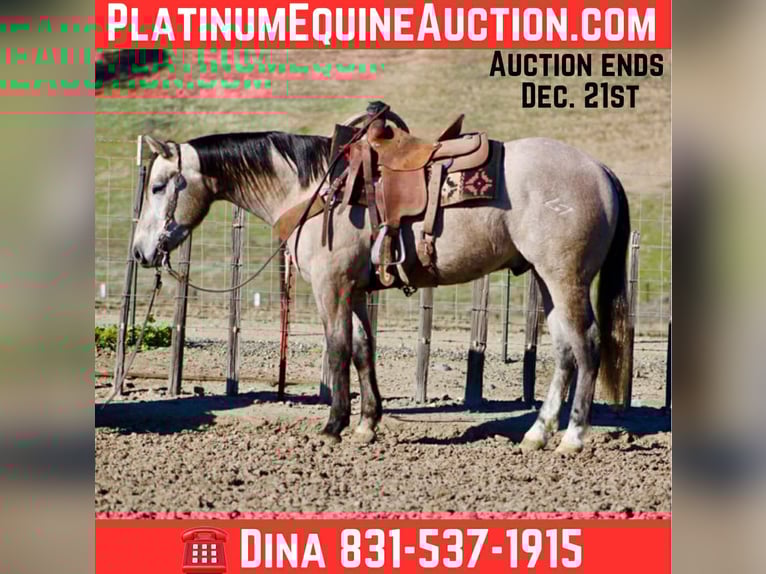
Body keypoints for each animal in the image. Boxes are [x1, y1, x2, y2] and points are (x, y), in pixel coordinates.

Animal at [132, 119, 630, 455]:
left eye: (158, 186)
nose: (140, 252)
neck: (315, 190)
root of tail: (602, 170)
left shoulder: (331, 286)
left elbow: (336, 348)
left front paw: (333, 426)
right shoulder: (353, 289)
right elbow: (361, 348)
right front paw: (366, 424)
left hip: (565, 278)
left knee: (587, 344)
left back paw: (573, 437)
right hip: (547, 281)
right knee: (565, 351)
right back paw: (537, 433)